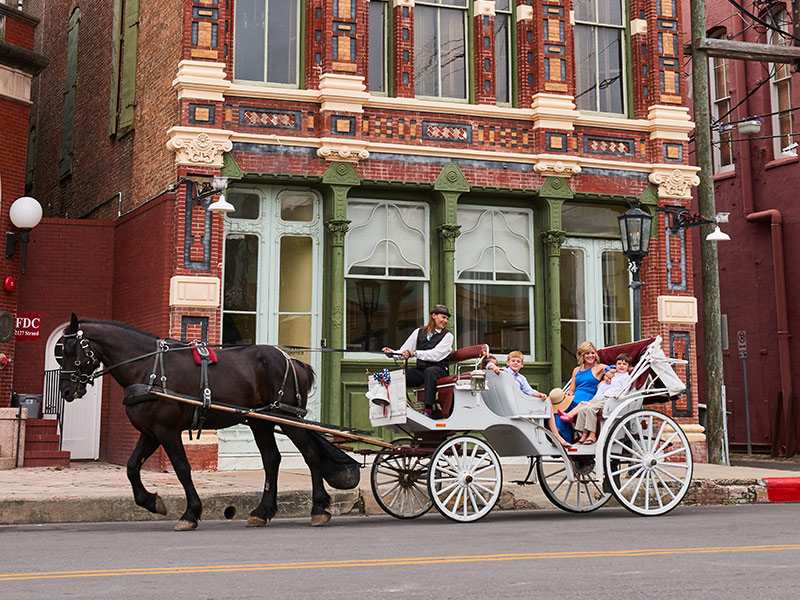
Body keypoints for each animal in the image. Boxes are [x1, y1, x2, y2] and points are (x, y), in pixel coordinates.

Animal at [56, 314, 356, 528]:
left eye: (71, 349)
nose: (66, 391)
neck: (147, 369)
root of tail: (293, 361)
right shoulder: (151, 431)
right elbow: (131, 467)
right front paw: (151, 502)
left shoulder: (167, 430)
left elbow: (182, 469)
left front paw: (190, 513)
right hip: (261, 421)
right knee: (272, 460)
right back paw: (262, 512)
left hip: (288, 417)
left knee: (310, 455)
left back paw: (318, 508)